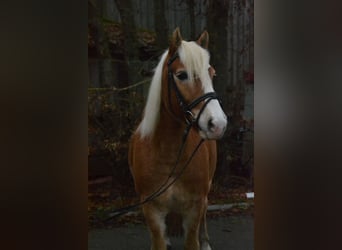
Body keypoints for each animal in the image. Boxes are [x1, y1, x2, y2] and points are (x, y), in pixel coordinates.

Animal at [128, 27, 227, 250]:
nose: (218, 124)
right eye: (182, 75)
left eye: (212, 74)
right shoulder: (151, 210)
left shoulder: (194, 208)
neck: (168, 151)